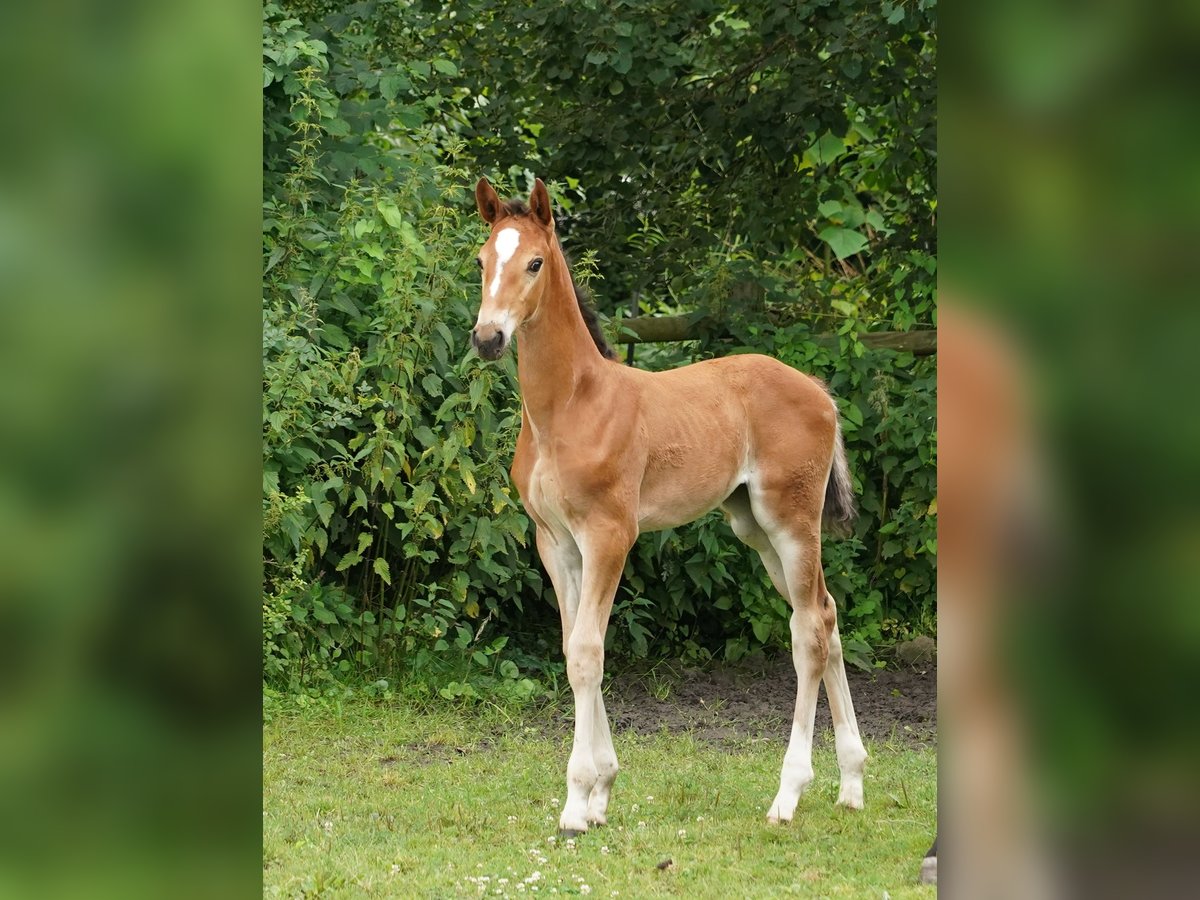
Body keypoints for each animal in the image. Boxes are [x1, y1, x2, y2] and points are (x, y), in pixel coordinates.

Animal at [465, 177, 864, 840]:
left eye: (535, 262)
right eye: (480, 261)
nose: (488, 338)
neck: (569, 407)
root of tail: (820, 391)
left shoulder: (610, 535)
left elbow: (588, 654)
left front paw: (577, 802)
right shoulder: (556, 543)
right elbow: (573, 647)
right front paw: (600, 793)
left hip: (792, 523)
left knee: (807, 631)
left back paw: (787, 795)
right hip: (755, 529)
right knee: (828, 616)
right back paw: (853, 785)